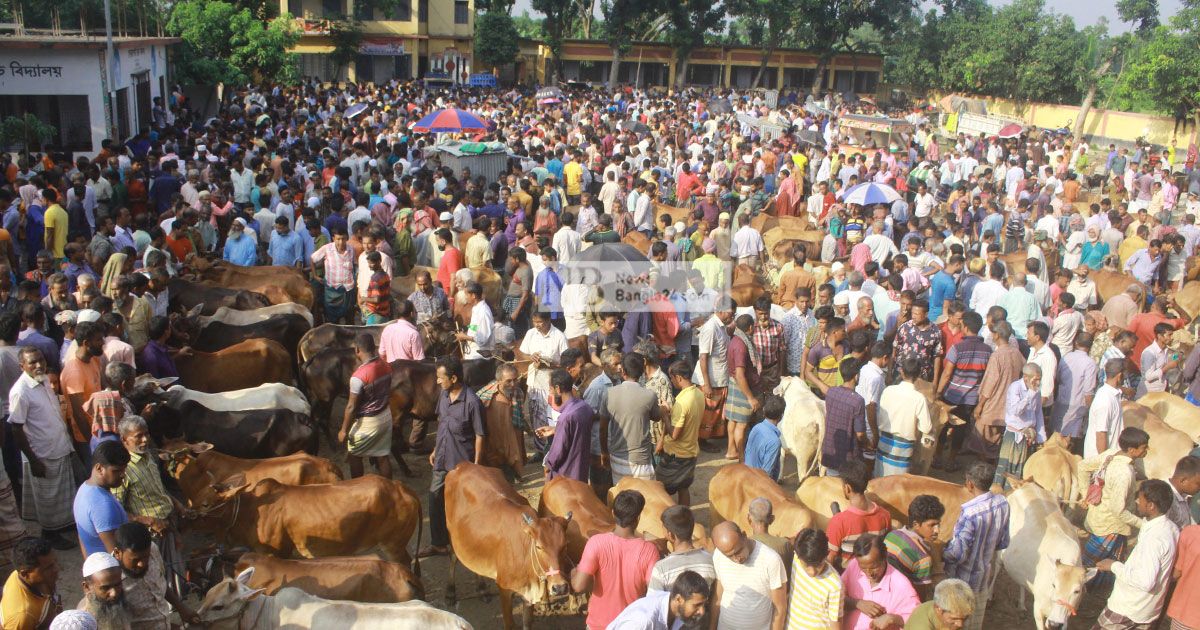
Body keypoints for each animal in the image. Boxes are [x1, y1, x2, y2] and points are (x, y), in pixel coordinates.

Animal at [446, 460, 571, 628]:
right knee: (453, 557)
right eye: (539, 547)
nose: (560, 587)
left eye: (565, 545)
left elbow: (527, 622)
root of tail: (464, 464)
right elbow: (510, 624)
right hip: (451, 534)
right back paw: (450, 592)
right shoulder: (504, 589)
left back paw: (482, 589)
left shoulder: (528, 594)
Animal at [998, 484, 1094, 624]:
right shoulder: (1038, 609)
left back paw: (1021, 604)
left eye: (1077, 591)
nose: (1054, 623)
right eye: (1054, 585)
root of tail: (1028, 486)